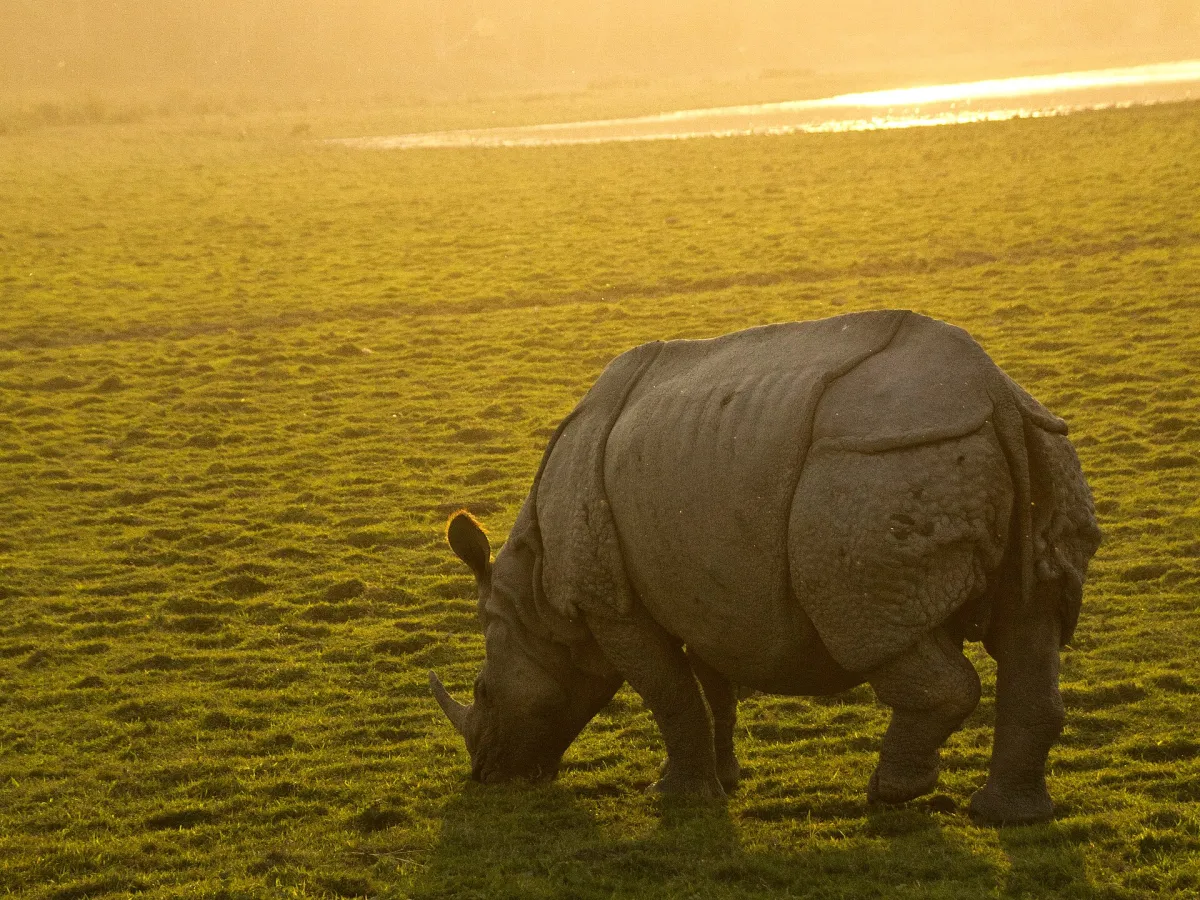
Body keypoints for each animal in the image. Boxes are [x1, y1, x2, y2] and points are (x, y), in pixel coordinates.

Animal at [430, 309, 1100, 824]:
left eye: (482, 690)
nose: (486, 775)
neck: (535, 595)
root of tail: (992, 390)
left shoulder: (610, 605)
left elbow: (668, 692)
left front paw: (677, 797)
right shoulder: (700, 587)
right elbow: (712, 690)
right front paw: (723, 781)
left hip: (876, 466)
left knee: (871, 629)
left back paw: (891, 795)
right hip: (1040, 442)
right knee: (1032, 626)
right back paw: (1008, 817)